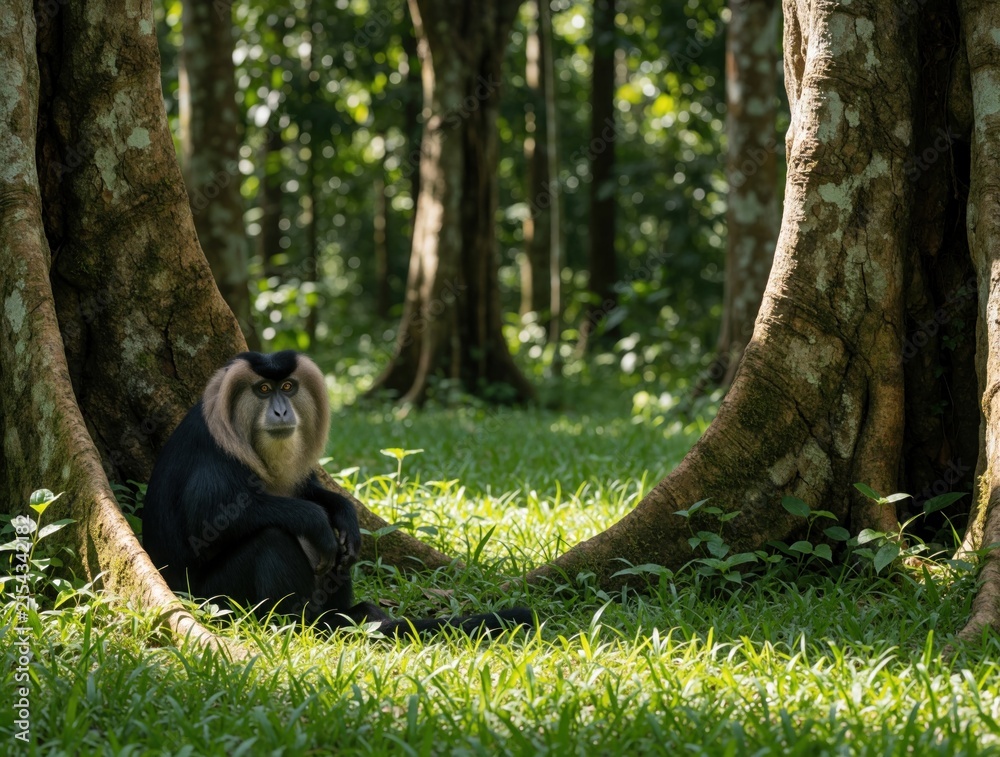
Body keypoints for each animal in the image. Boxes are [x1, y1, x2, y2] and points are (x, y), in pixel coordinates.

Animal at [142, 350, 532, 637]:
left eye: (288, 386)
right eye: (263, 391)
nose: (281, 410)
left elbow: (319, 497)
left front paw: (345, 514)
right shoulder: (214, 458)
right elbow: (207, 523)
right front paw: (312, 519)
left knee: (338, 550)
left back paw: (348, 612)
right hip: (213, 597)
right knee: (272, 538)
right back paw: (303, 623)